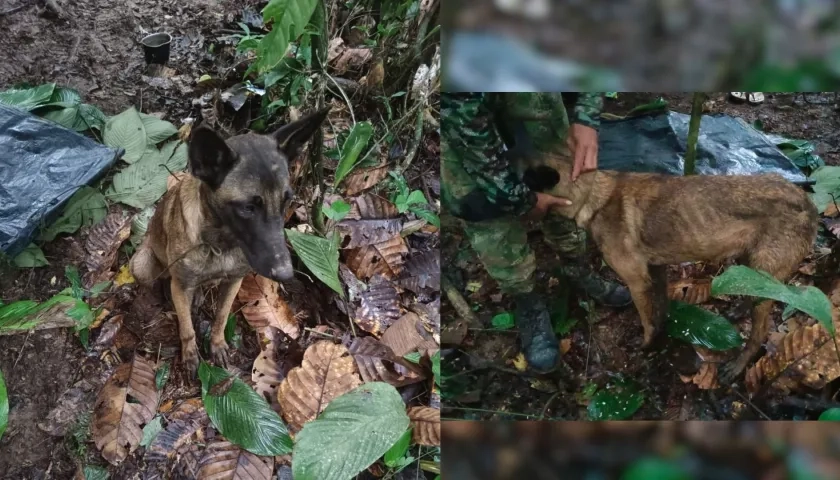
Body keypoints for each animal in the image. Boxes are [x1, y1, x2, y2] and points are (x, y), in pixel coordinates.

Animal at [130, 107, 330, 376]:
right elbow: (187, 328)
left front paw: (217, 345)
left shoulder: (234, 281)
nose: (286, 273)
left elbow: (222, 317)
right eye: (247, 208)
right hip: (141, 265)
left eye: (287, 200)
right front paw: (190, 355)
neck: (220, 244)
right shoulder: (181, 287)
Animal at [520, 154, 816, 382]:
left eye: (523, 180)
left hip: (765, 272)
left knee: (759, 332)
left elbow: (647, 320)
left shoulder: (637, 281)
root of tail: (806, 199)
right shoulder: (656, 270)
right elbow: (660, 309)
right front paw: (661, 336)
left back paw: (738, 365)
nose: (511, 201)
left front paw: (646, 347)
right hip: (748, 263)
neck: (594, 195)